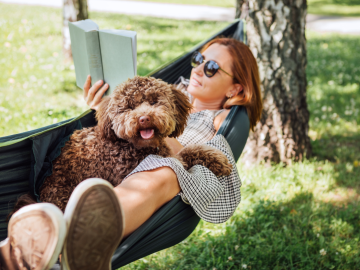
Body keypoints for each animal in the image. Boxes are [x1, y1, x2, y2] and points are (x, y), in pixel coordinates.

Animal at [11, 76, 232, 213]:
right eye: (129, 107)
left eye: (154, 101)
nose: (144, 118)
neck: (131, 146)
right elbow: (185, 155)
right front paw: (217, 159)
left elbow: (189, 150)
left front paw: (215, 158)